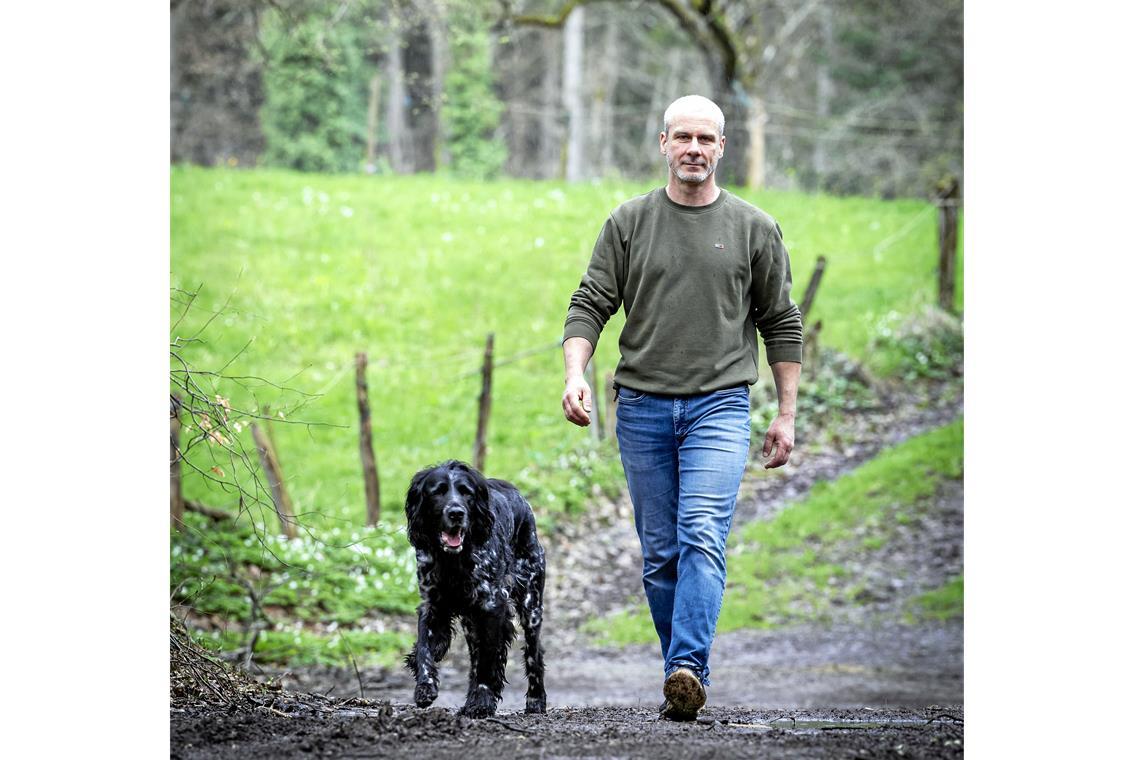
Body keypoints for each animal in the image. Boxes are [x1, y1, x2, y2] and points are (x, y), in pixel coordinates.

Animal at [403, 460, 544, 715]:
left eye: (466, 492)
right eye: (438, 491)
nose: (456, 513)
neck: (453, 561)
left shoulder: (491, 605)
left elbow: (489, 660)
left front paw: (481, 701)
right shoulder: (432, 604)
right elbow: (425, 647)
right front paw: (425, 685)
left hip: (531, 604)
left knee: (533, 653)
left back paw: (536, 699)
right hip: (471, 623)